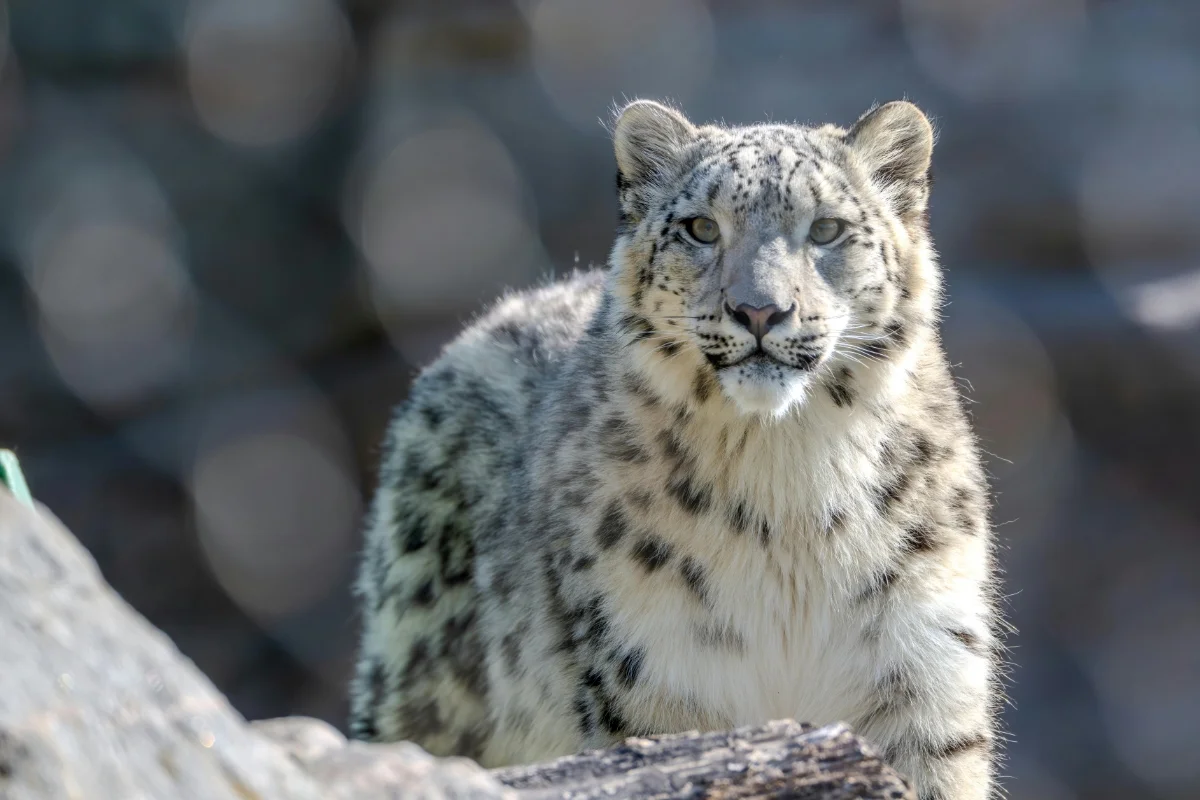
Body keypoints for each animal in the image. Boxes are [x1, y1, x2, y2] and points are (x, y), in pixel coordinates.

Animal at [348, 98, 1006, 800]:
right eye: (700, 228)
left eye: (827, 228)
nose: (759, 311)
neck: (789, 481)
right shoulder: (655, 665)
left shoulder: (923, 660)